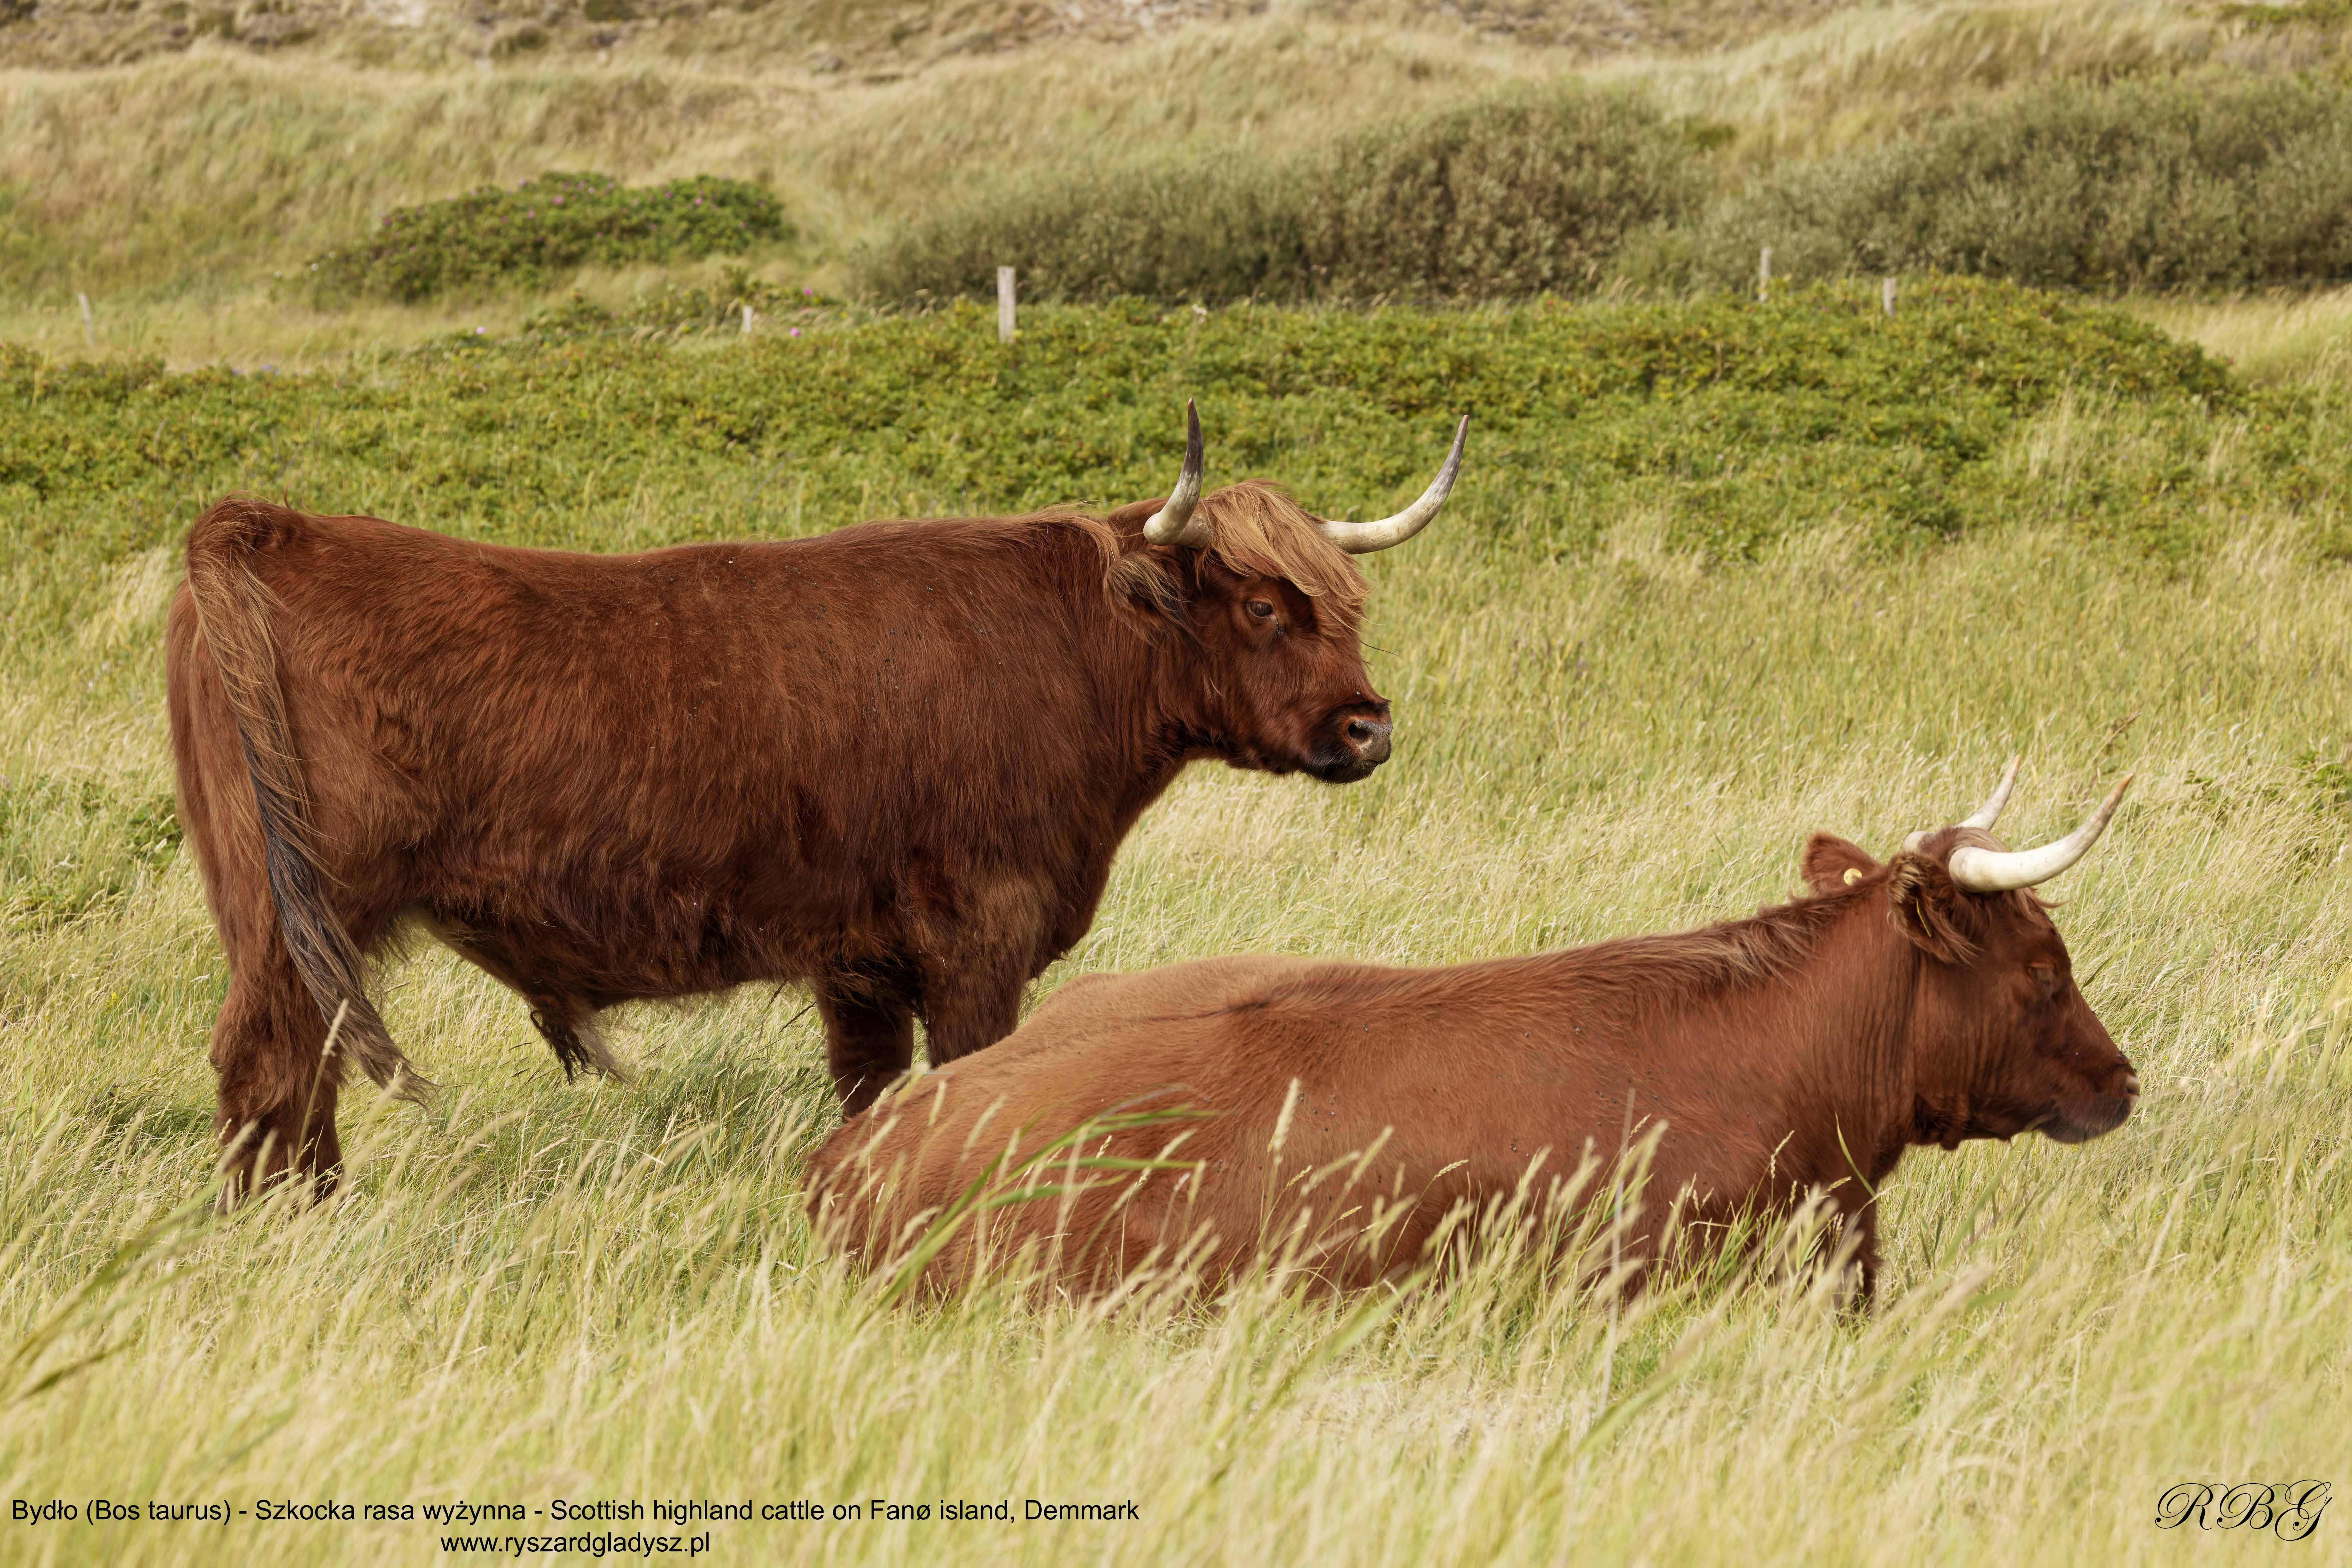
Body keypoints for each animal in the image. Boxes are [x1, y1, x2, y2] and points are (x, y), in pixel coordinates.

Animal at [167, 402, 1469, 1200]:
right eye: (1262, 606)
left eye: (1348, 601)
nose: (1368, 726)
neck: (1071, 653)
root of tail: (266, 523)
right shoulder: (978, 936)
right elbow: (968, 1079)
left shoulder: (860, 959)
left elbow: (871, 1095)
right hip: (304, 918)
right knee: (271, 1068)